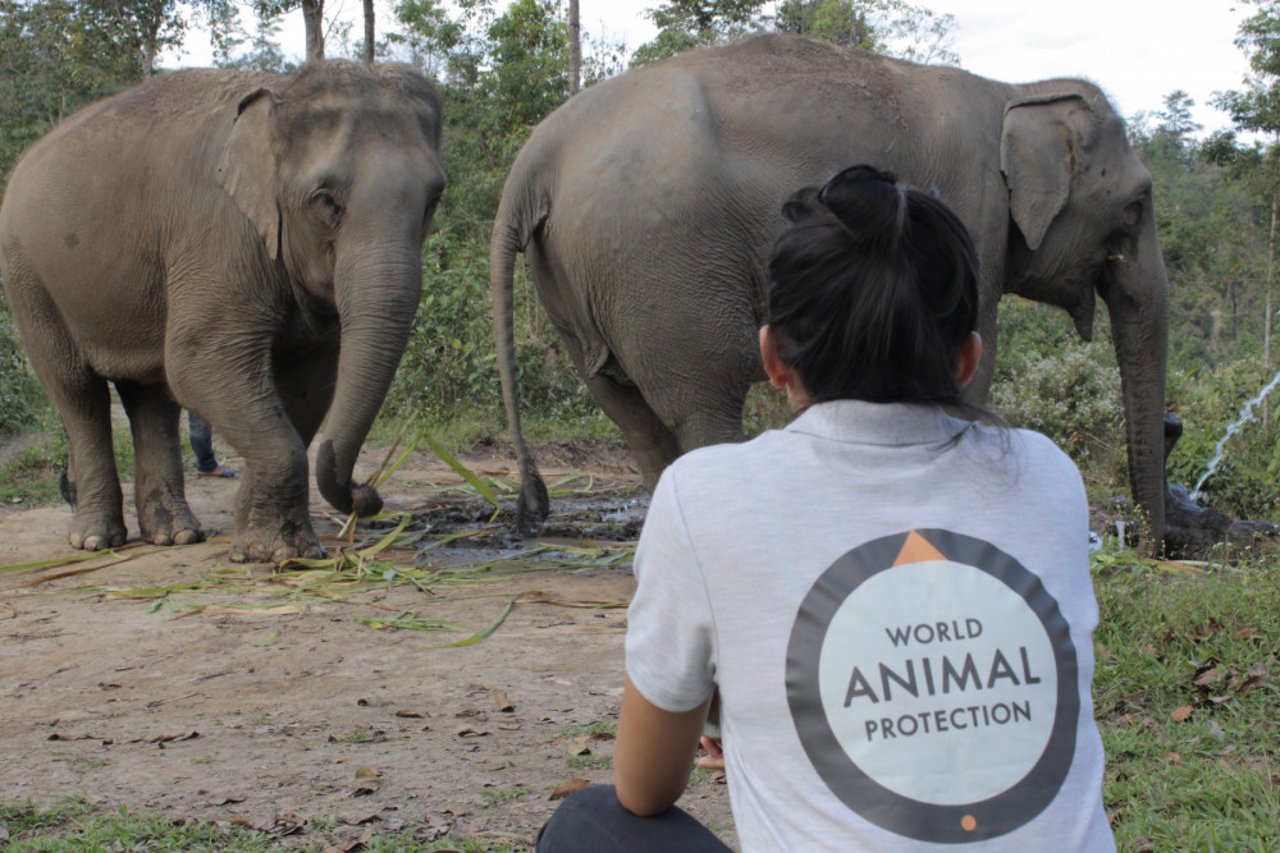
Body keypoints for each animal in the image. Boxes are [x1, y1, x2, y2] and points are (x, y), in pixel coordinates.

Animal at [1, 63, 445, 560]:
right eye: (326, 200)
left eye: (434, 200)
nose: (365, 492)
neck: (282, 95)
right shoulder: (215, 235)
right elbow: (198, 363)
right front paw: (285, 553)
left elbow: (310, 383)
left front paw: (253, 541)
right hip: (28, 276)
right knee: (77, 390)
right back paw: (97, 541)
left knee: (152, 395)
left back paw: (174, 534)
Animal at [496, 33, 1172, 548]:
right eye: (1137, 205)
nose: (1153, 547)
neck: (1014, 91)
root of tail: (537, 155)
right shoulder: (973, 209)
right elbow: (967, 357)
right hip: (662, 259)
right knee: (705, 399)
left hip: (584, 275)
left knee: (627, 408)